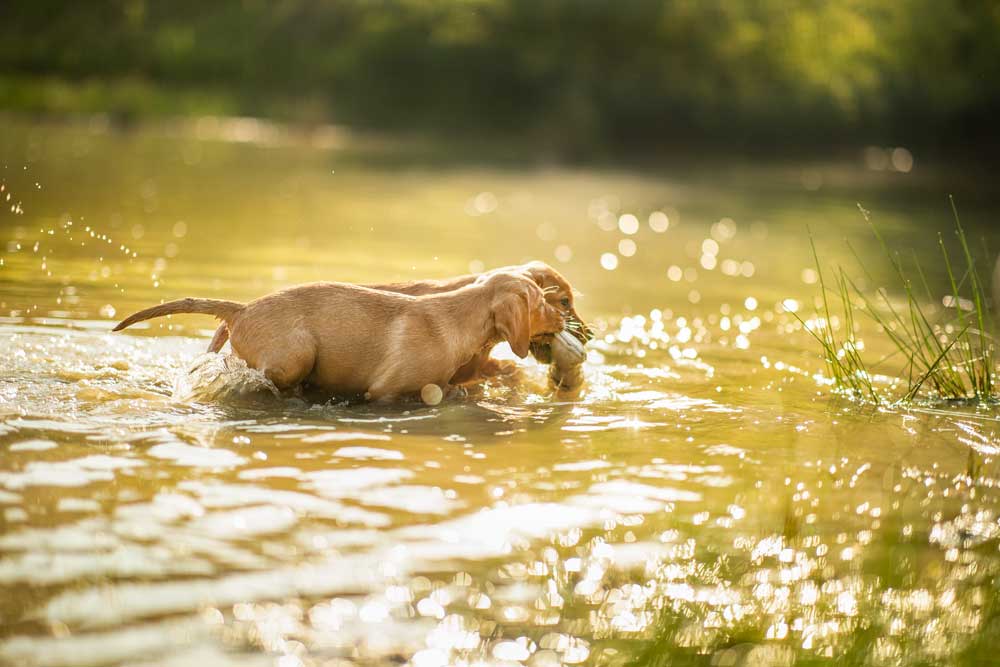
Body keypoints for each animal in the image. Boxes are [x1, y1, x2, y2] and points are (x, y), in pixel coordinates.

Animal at [113, 272, 568, 402]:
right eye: (542, 302)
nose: (566, 319)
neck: (458, 318)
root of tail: (241, 309)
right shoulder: (385, 392)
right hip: (295, 355)